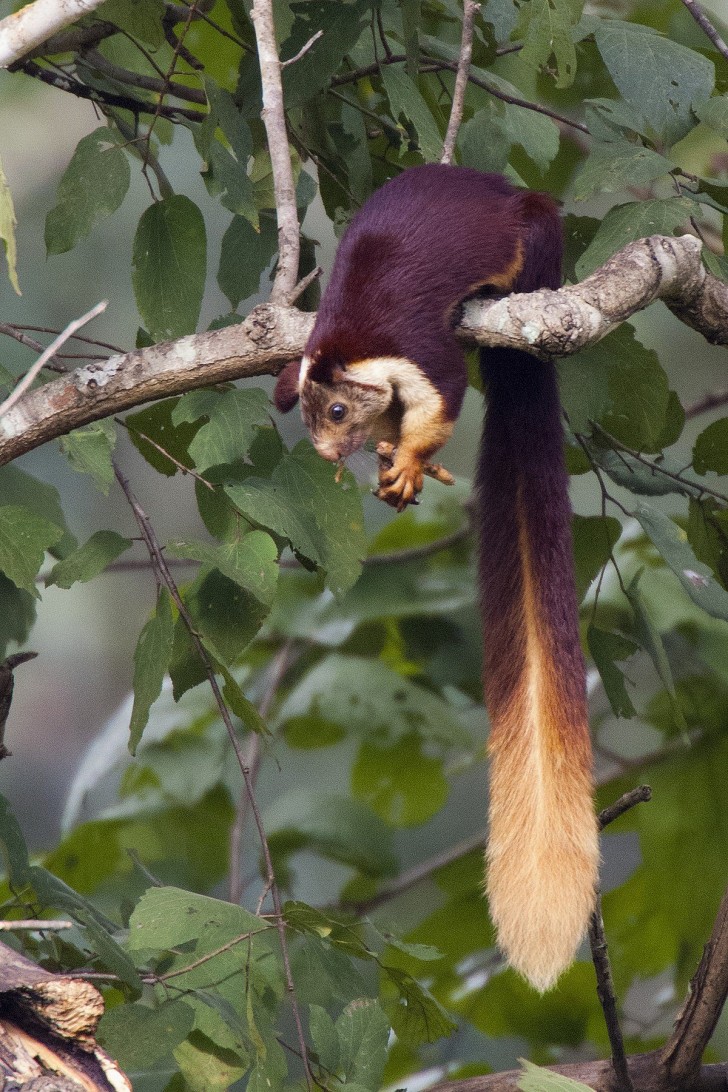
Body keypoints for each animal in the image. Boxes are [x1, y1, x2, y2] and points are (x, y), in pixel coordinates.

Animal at [272, 165, 598, 995]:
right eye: (312, 423)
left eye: (339, 411)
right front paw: (396, 464)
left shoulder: (420, 356)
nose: (331, 455)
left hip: (536, 234)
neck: (349, 340)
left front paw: (412, 460)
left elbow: (443, 395)